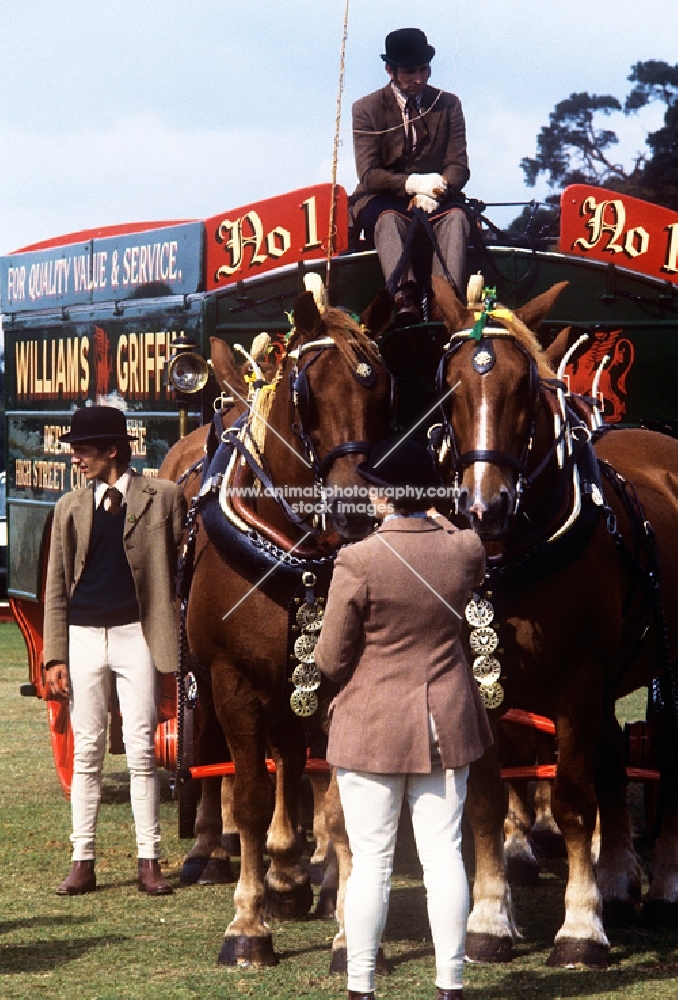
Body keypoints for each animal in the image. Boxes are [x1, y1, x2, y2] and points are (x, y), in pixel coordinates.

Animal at [186, 288, 396, 960]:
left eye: (381, 390)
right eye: (309, 392)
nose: (354, 507)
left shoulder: (329, 685)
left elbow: (337, 808)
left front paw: (349, 934)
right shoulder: (232, 683)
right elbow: (251, 797)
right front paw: (247, 927)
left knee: (292, 758)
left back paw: (292, 873)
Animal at [432, 276, 678, 968]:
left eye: (525, 388)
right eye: (450, 387)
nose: (484, 505)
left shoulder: (577, 678)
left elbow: (571, 798)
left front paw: (580, 928)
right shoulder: (485, 681)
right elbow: (487, 800)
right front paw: (489, 919)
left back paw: (664, 887)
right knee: (615, 757)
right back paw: (619, 884)